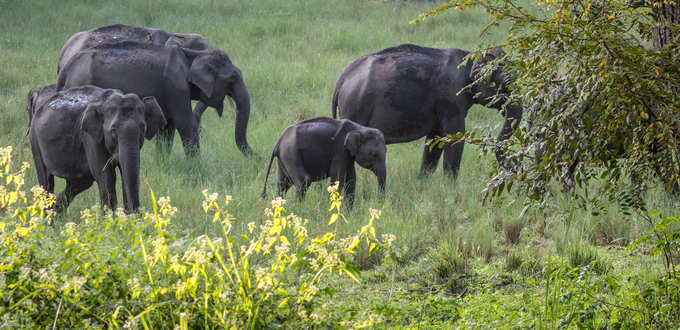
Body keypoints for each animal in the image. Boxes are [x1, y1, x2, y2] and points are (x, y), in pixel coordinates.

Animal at [28, 85, 167, 214]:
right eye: (113, 131)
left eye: (143, 129)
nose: (136, 215)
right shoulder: (90, 137)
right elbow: (106, 176)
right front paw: (111, 220)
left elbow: (126, 173)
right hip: (35, 140)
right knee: (46, 182)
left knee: (79, 182)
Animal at [57, 24, 252, 156]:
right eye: (232, 79)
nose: (256, 158)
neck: (189, 54)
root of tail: (66, 67)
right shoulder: (175, 86)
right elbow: (185, 123)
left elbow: (167, 127)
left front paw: (163, 163)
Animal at [332, 44, 524, 178]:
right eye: (504, 85)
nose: (516, 166)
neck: (470, 56)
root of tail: (342, 78)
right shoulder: (451, 99)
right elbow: (455, 136)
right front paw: (450, 188)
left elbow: (435, 141)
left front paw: (423, 182)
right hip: (355, 106)